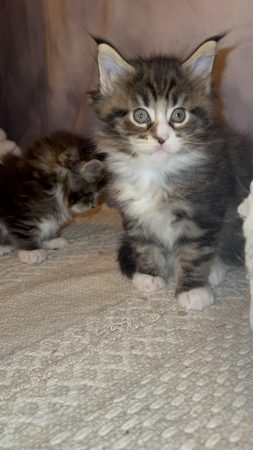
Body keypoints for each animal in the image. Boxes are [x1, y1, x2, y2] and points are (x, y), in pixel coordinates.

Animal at [0, 130, 105, 264]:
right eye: (90, 194)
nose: (93, 206)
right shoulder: (19, 213)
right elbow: (25, 231)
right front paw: (31, 251)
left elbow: (48, 225)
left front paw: (51, 240)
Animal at [92, 37, 253, 310]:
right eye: (140, 115)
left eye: (179, 114)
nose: (161, 138)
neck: (155, 171)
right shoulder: (134, 212)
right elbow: (143, 243)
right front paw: (149, 273)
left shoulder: (203, 210)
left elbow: (193, 252)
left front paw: (192, 289)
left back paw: (214, 269)